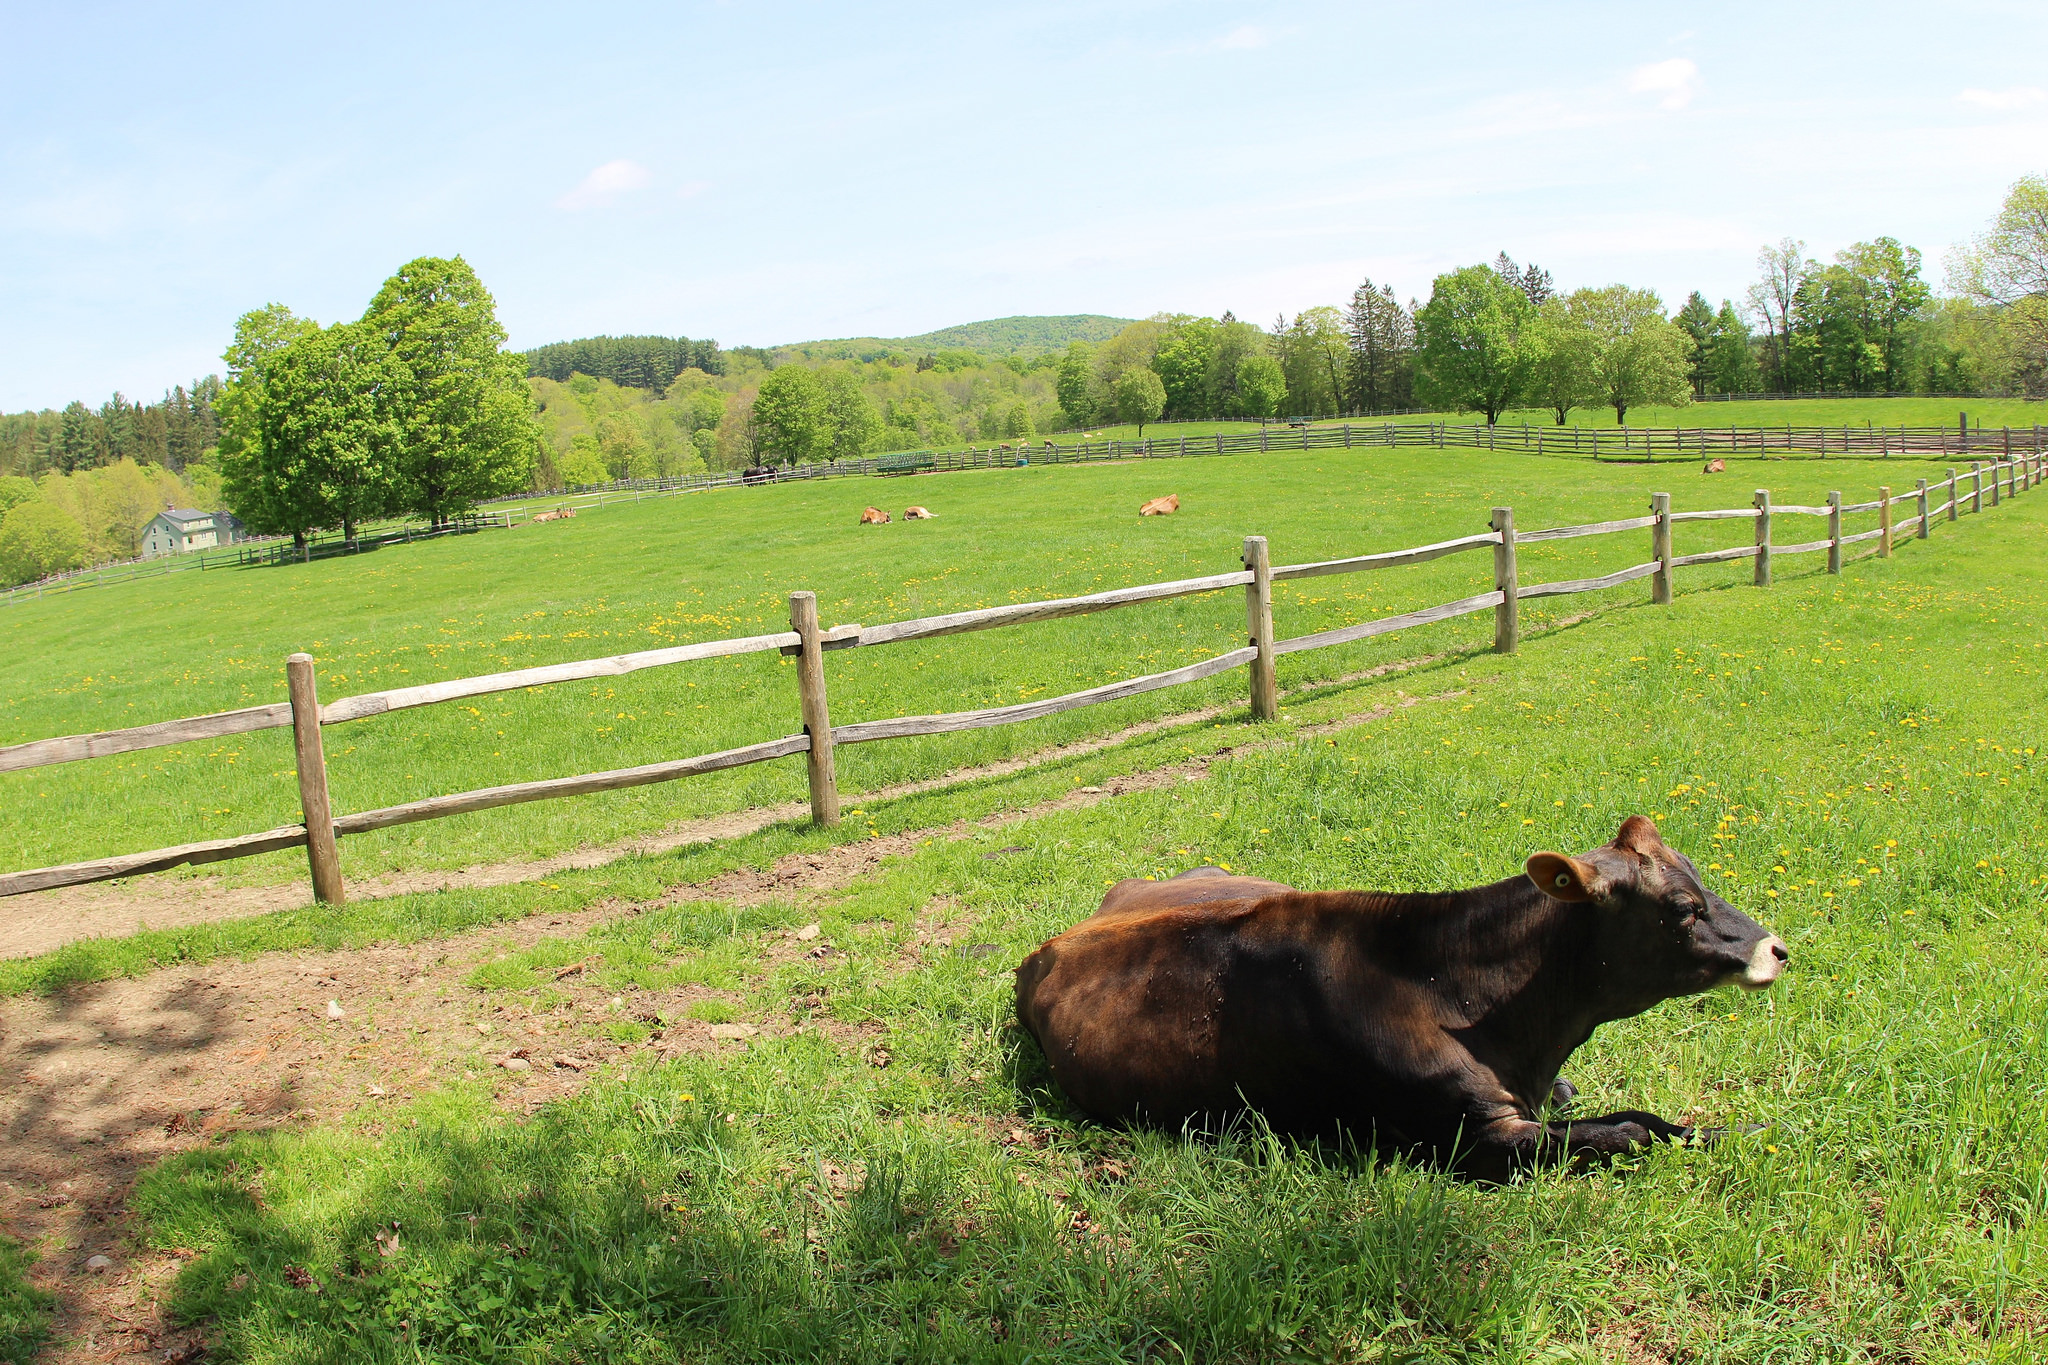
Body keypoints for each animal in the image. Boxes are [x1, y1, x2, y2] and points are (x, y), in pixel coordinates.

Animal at [1015, 818, 1785, 1178]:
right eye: (1682, 908)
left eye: (1698, 876)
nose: (1776, 947)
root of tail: (1054, 940)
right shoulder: (1473, 1138)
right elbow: (1628, 1133)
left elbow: (1642, 1119)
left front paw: (1746, 1130)